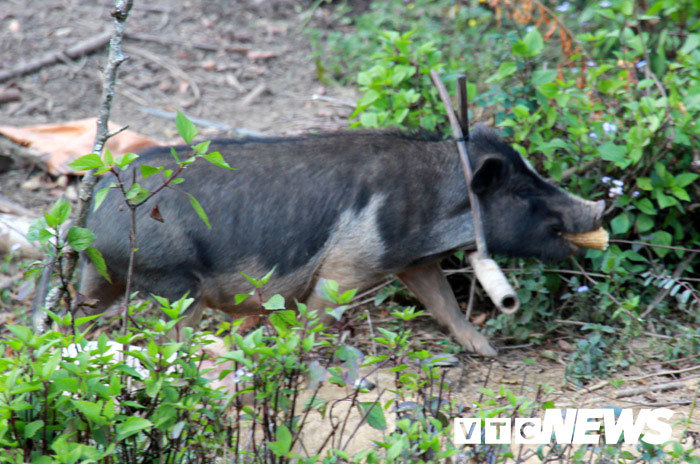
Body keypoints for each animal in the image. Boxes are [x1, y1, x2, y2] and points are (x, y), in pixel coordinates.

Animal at [75, 125, 600, 358]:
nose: (599, 208)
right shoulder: (351, 263)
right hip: (175, 282)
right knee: (172, 333)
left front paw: (486, 350)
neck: (434, 202)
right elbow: (318, 314)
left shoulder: (410, 260)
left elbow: (443, 303)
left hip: (99, 273)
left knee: (79, 309)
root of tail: (98, 205)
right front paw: (288, 353)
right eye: (524, 192)